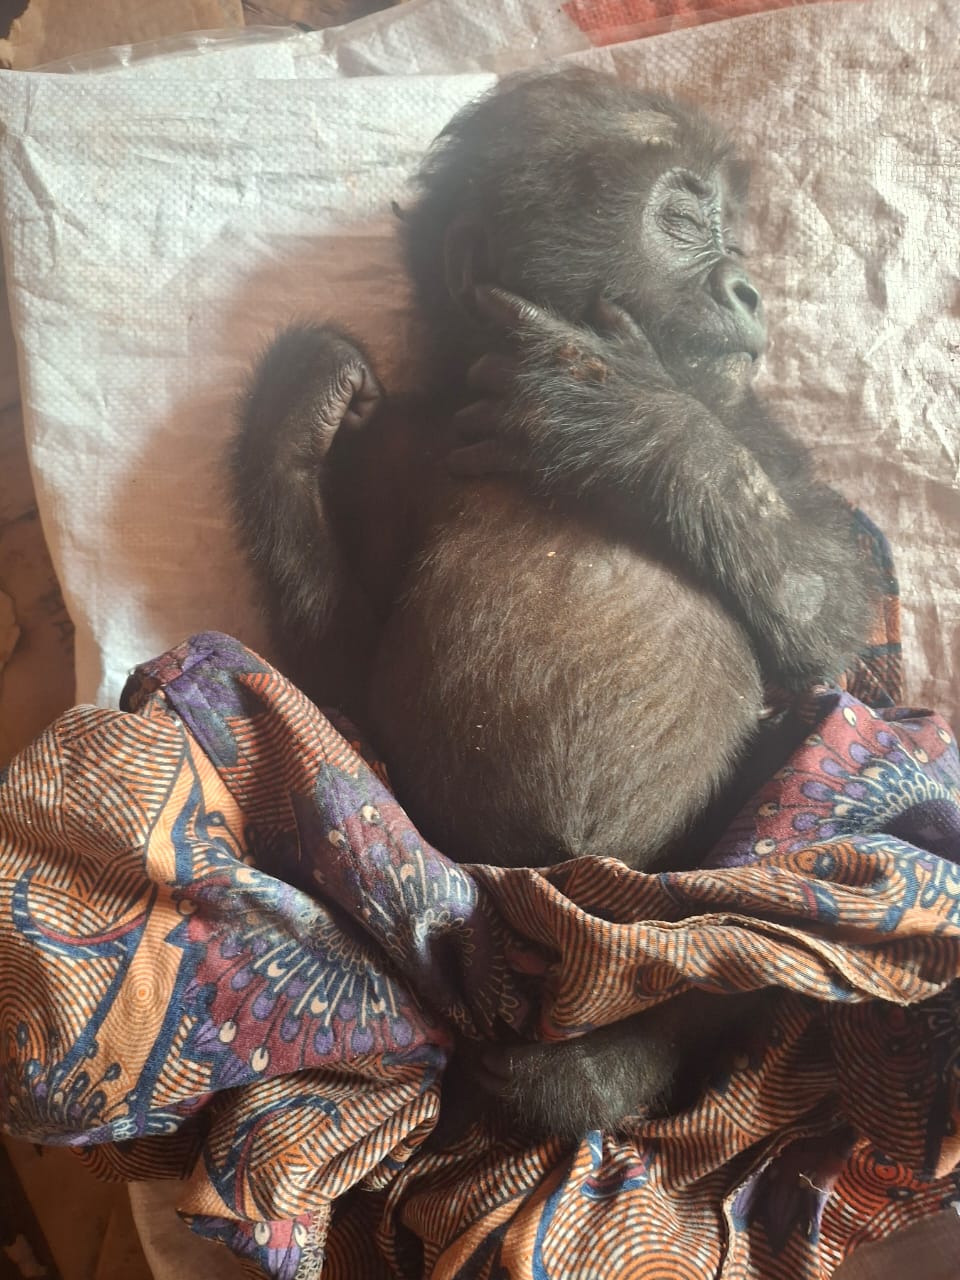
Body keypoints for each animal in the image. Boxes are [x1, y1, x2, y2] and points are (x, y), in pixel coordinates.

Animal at [230, 68, 874, 1140]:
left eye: (733, 232)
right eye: (687, 220)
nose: (748, 287)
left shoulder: (758, 428)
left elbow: (835, 615)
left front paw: (634, 420)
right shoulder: (394, 453)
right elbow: (335, 669)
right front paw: (297, 406)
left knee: (812, 798)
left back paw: (601, 1070)